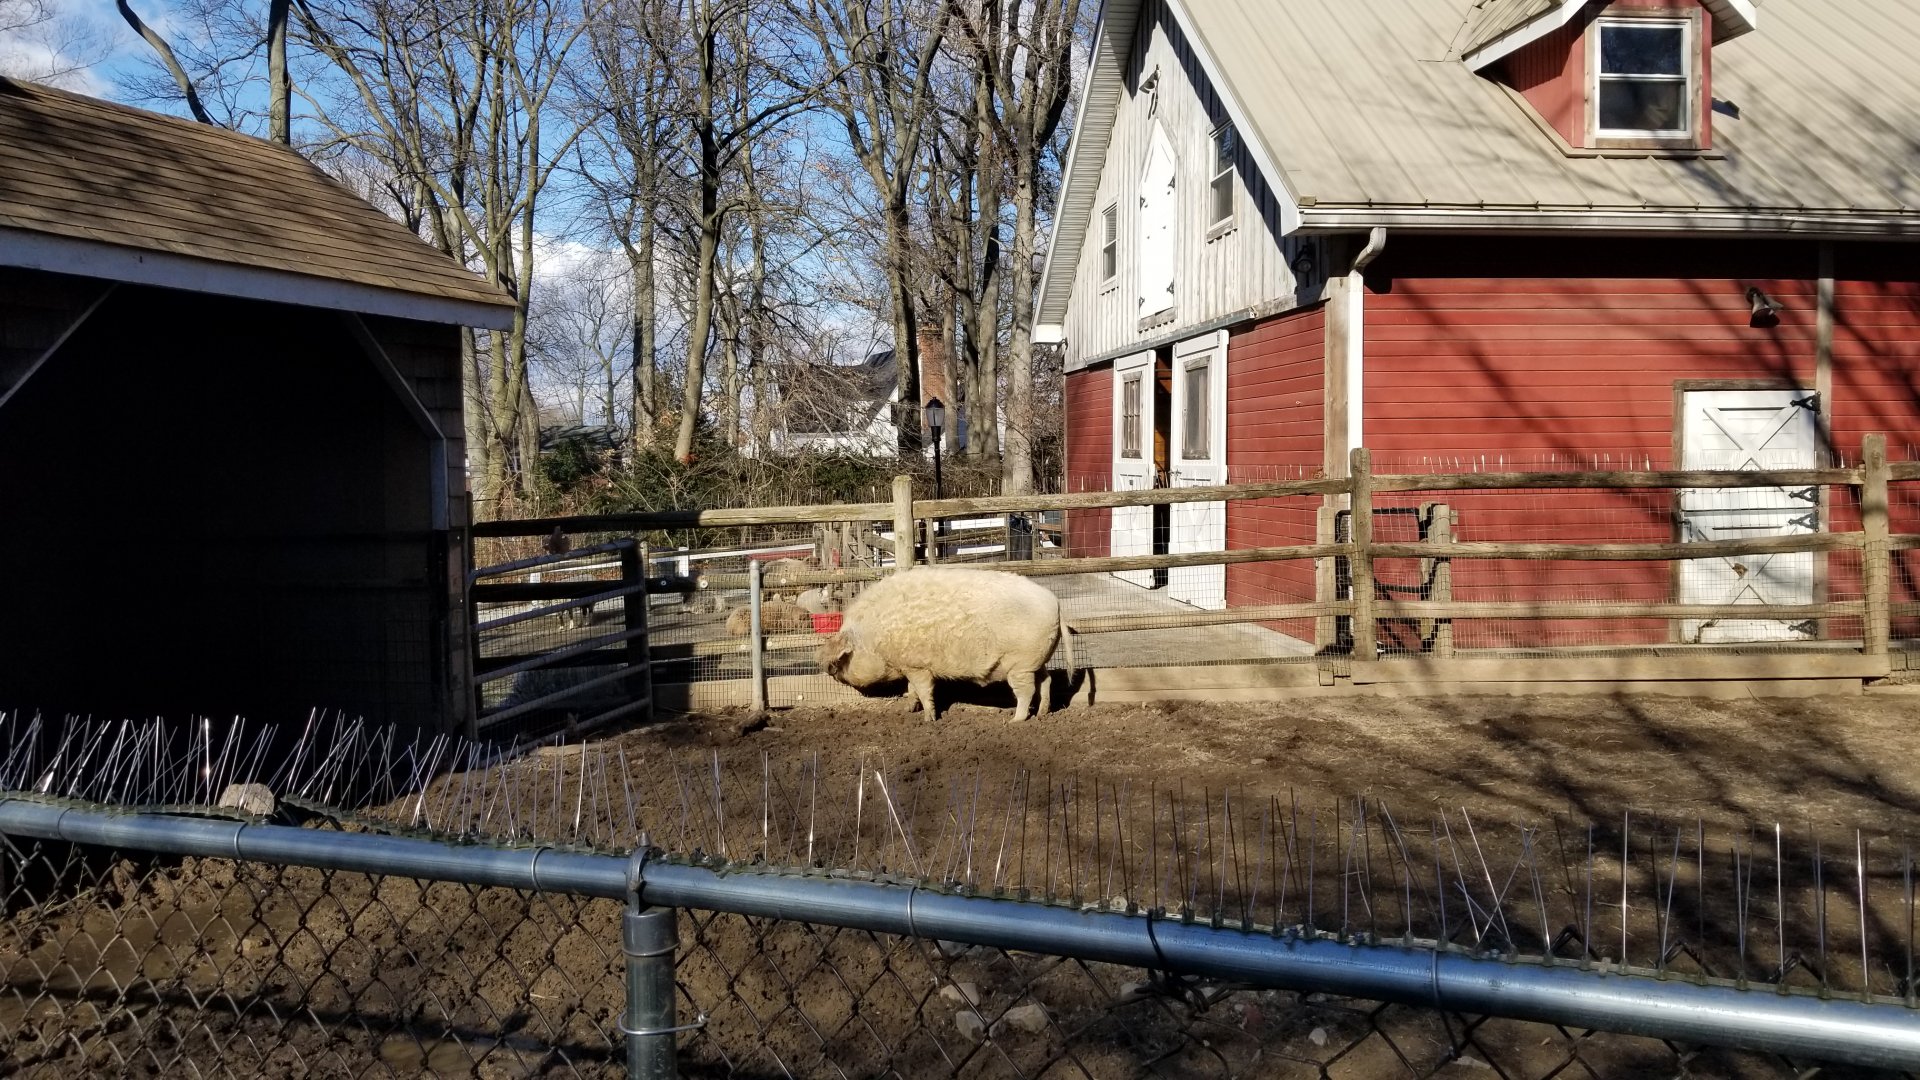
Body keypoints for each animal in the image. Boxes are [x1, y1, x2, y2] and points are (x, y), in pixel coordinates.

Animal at [818, 566, 1075, 721]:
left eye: (842, 660)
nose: (828, 671)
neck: (872, 637)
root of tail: (1056, 604)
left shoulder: (917, 666)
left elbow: (924, 690)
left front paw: (929, 719)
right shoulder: (910, 667)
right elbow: (911, 689)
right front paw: (907, 709)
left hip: (1020, 662)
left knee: (1026, 690)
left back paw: (1014, 721)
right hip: (1036, 659)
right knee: (1047, 680)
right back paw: (1042, 714)